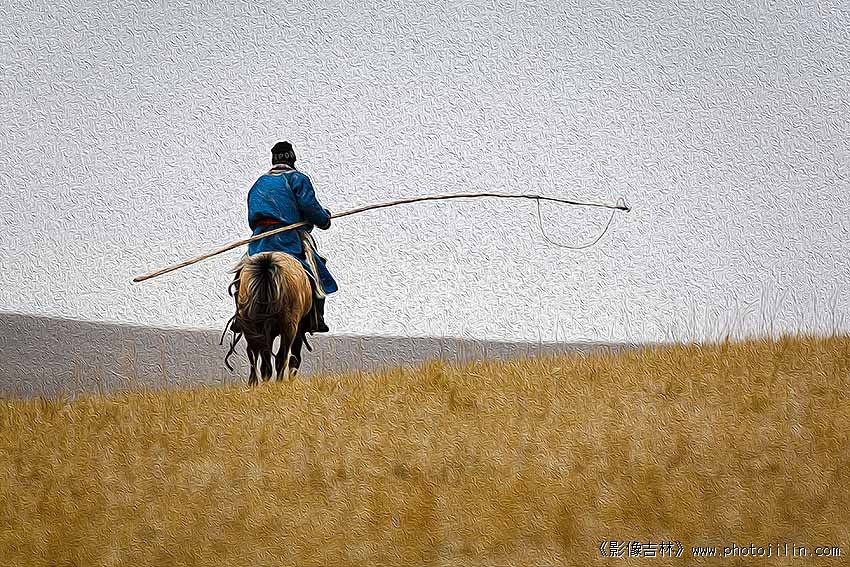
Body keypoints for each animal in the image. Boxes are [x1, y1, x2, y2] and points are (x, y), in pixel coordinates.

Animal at [222, 252, 314, 385]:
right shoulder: (297, 327)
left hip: (253, 326)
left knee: (254, 352)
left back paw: (255, 382)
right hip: (289, 327)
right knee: (282, 356)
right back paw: (278, 382)